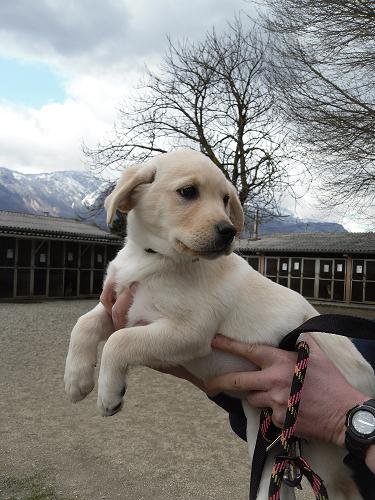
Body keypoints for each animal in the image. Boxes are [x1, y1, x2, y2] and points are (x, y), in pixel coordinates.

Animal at [65, 149, 375, 500]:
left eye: (225, 199)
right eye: (188, 192)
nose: (229, 231)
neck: (155, 258)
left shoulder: (190, 330)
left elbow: (120, 342)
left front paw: (108, 394)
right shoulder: (119, 306)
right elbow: (83, 324)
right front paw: (76, 380)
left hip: (316, 439)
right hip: (272, 434)